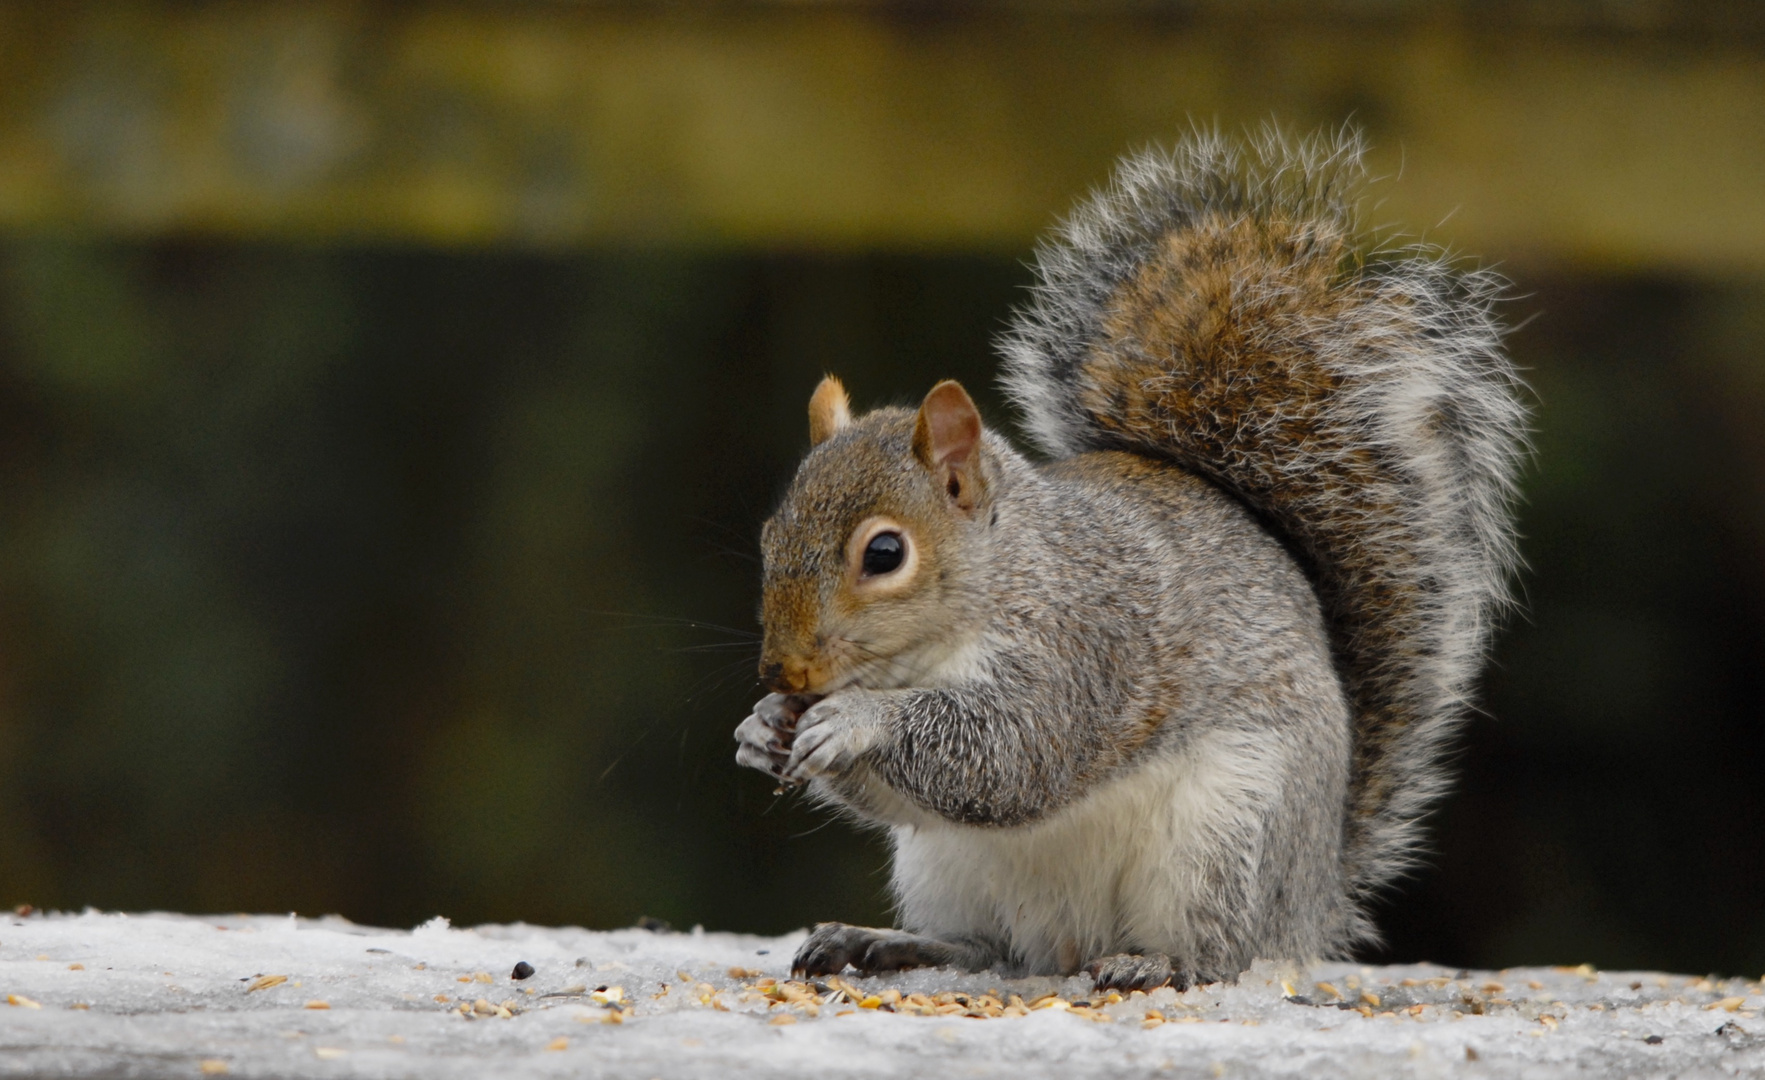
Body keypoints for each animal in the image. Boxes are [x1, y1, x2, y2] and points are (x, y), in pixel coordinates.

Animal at [730, 126, 1532, 988]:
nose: (782, 672)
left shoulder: (1083, 646)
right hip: (944, 867)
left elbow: (1006, 758)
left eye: (884, 553)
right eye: (770, 536)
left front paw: (854, 721)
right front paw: (762, 727)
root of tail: (1308, 907)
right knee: (990, 949)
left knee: (1218, 955)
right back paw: (889, 943)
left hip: (1222, 834)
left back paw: (1159, 965)